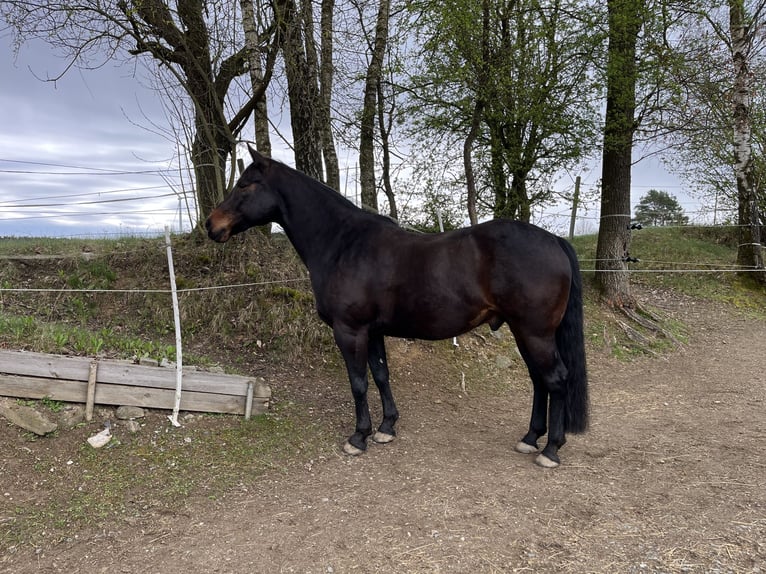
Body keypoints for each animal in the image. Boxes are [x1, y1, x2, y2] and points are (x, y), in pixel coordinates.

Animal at [206, 146, 588, 468]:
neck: (343, 243)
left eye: (244, 185)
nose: (211, 225)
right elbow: (380, 376)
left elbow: (358, 382)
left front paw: (358, 437)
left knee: (556, 380)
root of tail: (553, 239)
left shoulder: (350, 331)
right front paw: (386, 428)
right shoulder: (372, 331)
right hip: (524, 332)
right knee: (539, 381)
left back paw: (550, 450)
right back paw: (530, 438)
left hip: (535, 333)